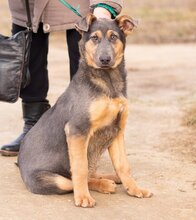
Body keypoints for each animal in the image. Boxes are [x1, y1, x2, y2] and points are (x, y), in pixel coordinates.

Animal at [18, 14, 152, 208]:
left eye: (114, 37)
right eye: (94, 38)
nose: (105, 60)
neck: (108, 81)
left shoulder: (117, 130)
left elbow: (123, 165)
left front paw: (134, 189)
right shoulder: (77, 130)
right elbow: (80, 168)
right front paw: (83, 197)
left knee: (91, 171)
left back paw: (110, 178)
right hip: (54, 180)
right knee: (74, 179)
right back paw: (103, 184)